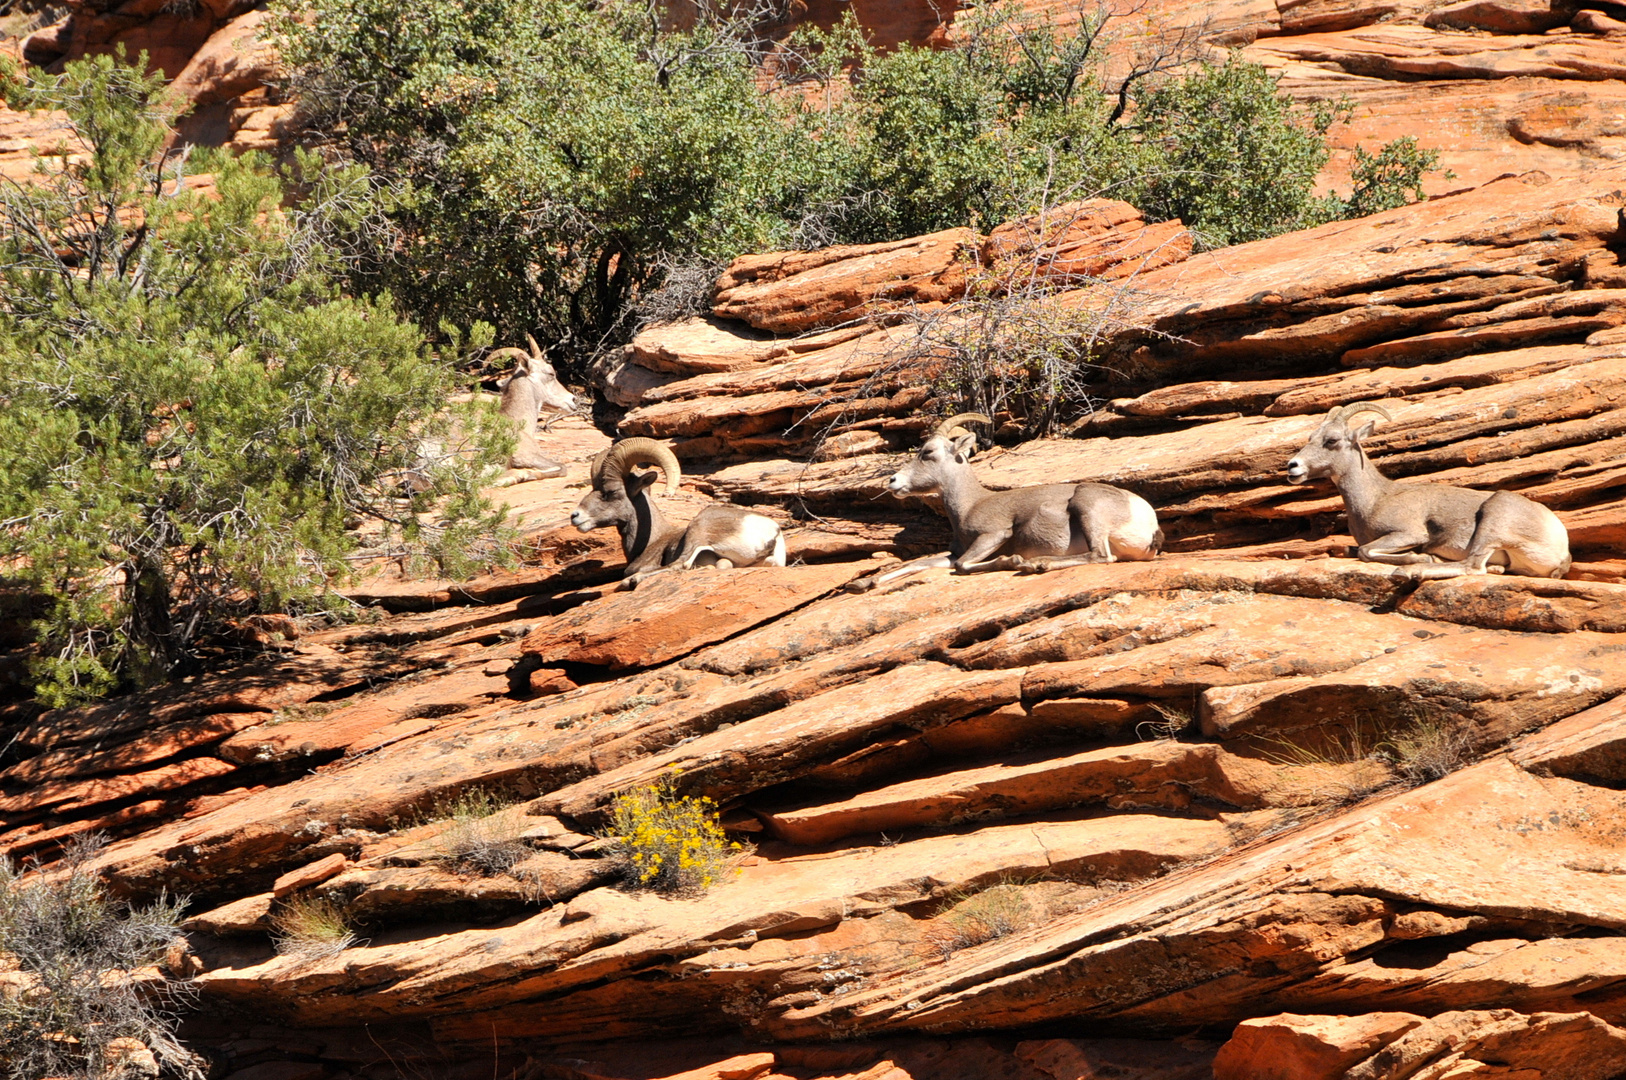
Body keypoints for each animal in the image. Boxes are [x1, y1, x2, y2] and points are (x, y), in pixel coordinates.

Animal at [572, 435, 786, 592]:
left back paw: (632, 581)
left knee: (682, 564)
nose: (575, 516)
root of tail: (772, 534)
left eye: (610, 492)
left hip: (698, 527)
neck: (652, 540)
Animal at [858, 413, 1164, 585]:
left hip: (1086, 507)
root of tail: (1148, 521)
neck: (971, 505)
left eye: (928, 452)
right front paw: (862, 584)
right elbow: (915, 565)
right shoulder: (957, 550)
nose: (893, 481)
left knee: (1100, 556)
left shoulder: (994, 535)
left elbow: (961, 566)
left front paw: (1013, 561)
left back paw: (1036, 564)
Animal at [1287, 400, 1567, 579]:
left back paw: (1409, 572)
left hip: (1494, 518)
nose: (1293, 466)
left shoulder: (1409, 533)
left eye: (1332, 440)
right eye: (1311, 438)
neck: (1375, 499)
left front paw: (1419, 558)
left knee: (1473, 566)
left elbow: (1366, 552)